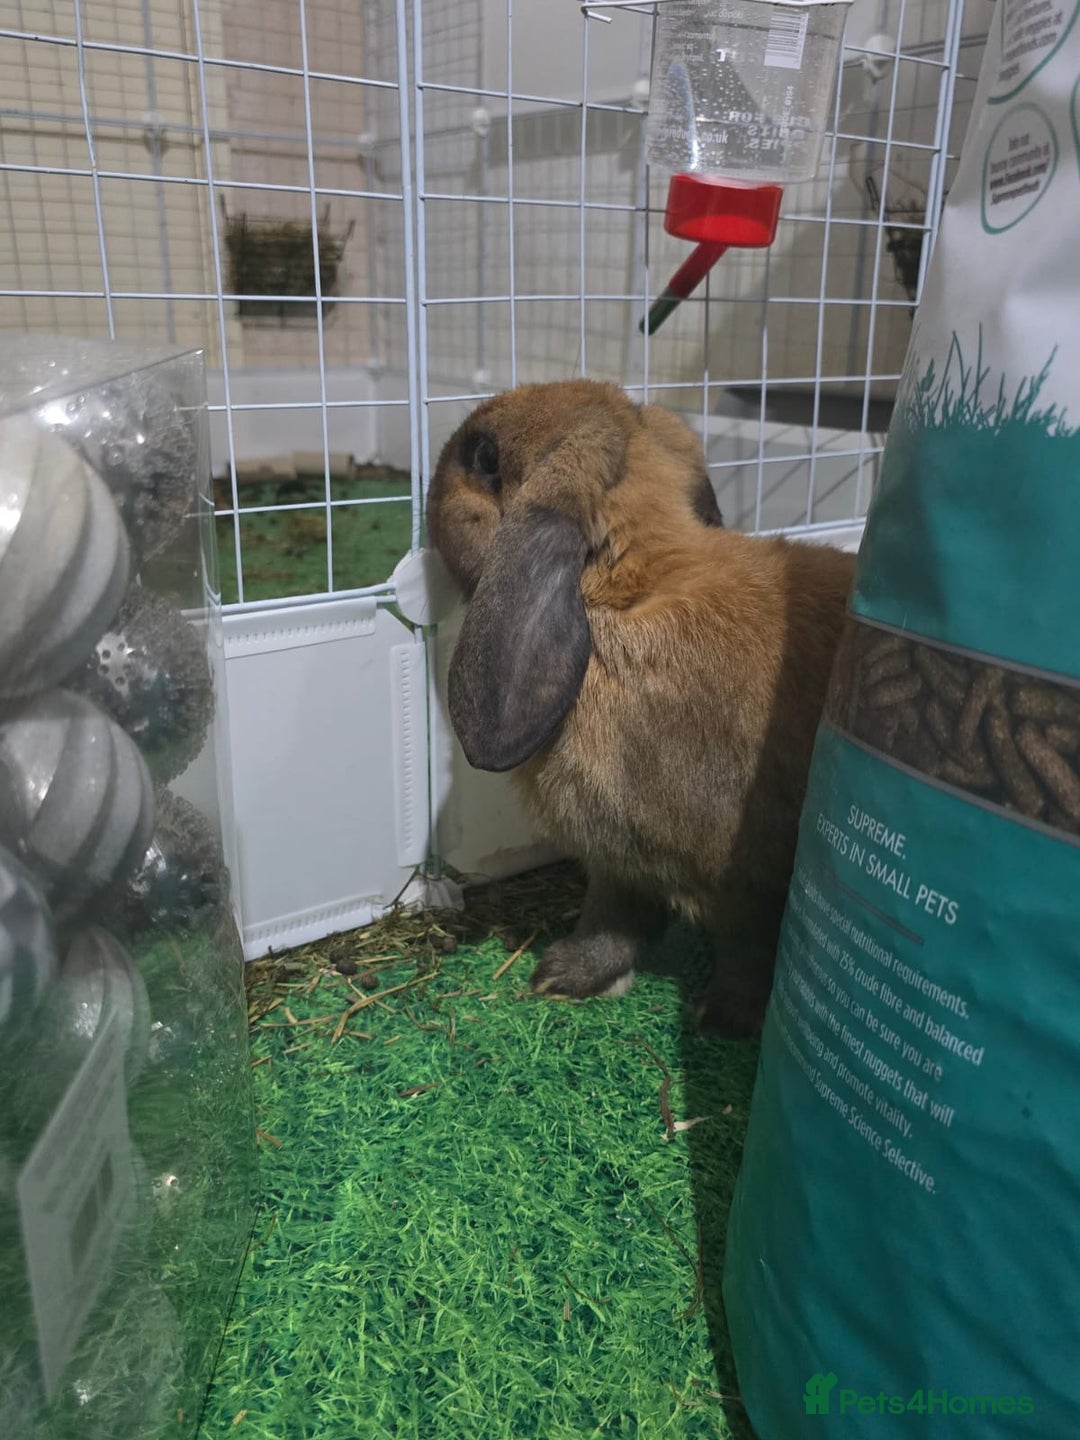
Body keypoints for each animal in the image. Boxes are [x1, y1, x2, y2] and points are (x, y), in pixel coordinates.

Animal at [427, 379, 856, 1036]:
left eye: (484, 457)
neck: (620, 592)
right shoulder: (620, 861)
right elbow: (610, 918)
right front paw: (563, 977)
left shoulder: (745, 883)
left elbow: (749, 951)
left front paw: (722, 1019)